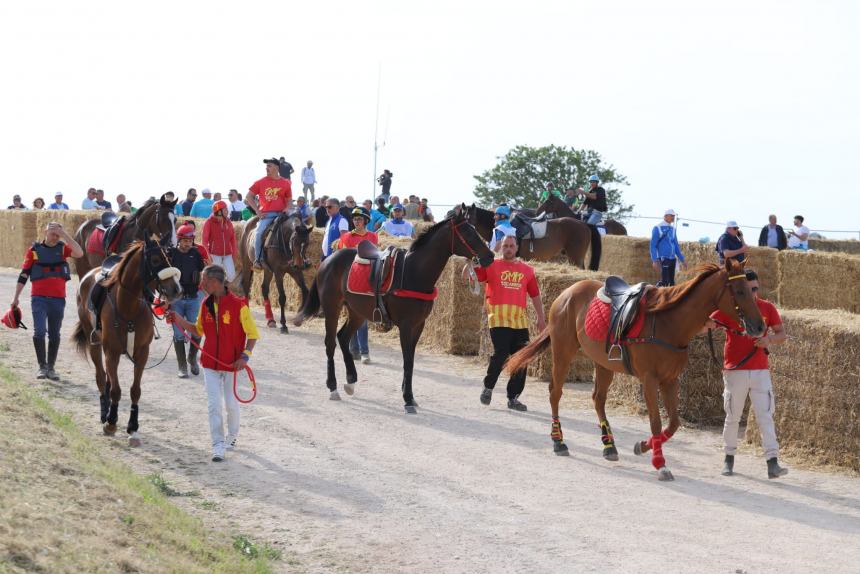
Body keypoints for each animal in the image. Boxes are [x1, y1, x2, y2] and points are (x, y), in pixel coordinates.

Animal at [71, 241, 183, 448]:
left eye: (169, 257)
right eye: (155, 259)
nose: (177, 290)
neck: (128, 306)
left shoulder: (142, 354)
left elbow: (135, 391)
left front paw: (133, 428)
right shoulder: (112, 352)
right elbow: (115, 390)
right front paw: (111, 422)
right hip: (95, 344)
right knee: (101, 377)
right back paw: (104, 413)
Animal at [294, 206, 490, 414]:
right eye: (468, 232)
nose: (490, 256)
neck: (413, 272)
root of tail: (327, 260)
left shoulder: (419, 325)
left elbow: (411, 360)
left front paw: (409, 395)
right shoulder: (405, 325)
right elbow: (407, 360)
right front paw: (407, 398)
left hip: (357, 312)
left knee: (343, 337)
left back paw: (351, 381)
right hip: (332, 308)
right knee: (330, 343)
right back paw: (333, 387)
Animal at [504, 260, 764, 482]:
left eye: (751, 290)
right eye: (740, 291)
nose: (760, 326)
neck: (669, 323)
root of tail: (567, 292)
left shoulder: (671, 380)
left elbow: (673, 423)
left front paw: (643, 446)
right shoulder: (649, 380)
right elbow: (656, 422)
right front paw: (660, 463)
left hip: (603, 363)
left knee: (598, 399)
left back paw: (609, 446)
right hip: (563, 352)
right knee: (555, 393)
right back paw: (559, 441)